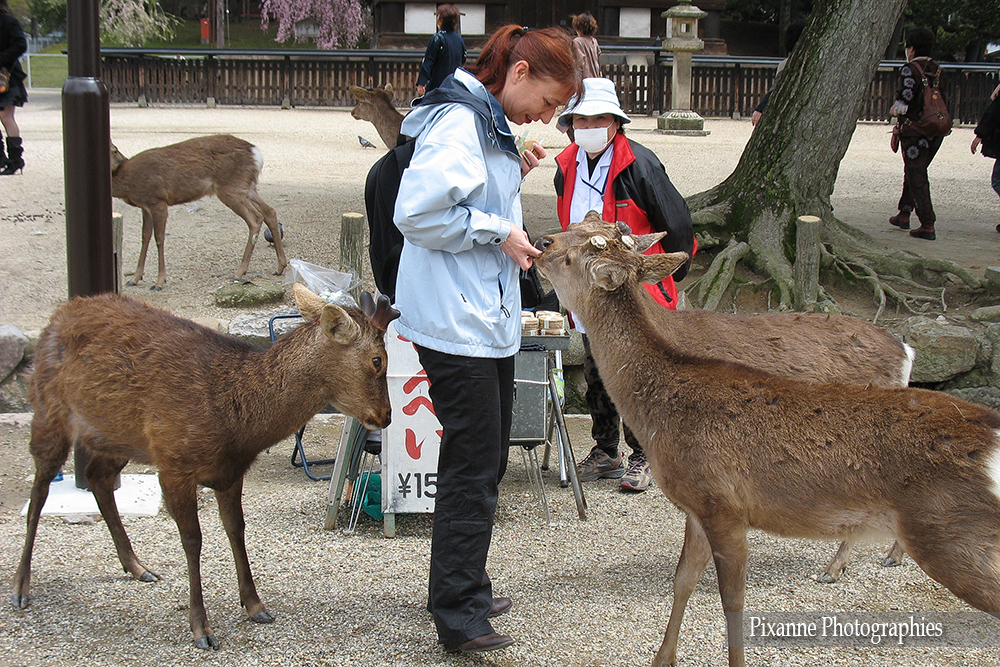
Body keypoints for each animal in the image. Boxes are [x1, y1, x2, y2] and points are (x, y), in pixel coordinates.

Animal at [11, 285, 399, 650]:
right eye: (378, 360)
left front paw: (256, 606)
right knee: (40, 490)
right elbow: (193, 540)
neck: (236, 423)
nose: (386, 416)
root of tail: (61, 313)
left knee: (96, 477)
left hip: (118, 436)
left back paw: (137, 566)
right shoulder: (173, 463)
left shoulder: (230, 473)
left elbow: (237, 530)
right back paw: (20, 587)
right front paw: (202, 629)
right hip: (49, 409)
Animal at [110, 134, 288, 291]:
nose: (122, 161)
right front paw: (134, 278)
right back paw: (280, 266)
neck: (128, 182)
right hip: (247, 188)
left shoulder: (158, 201)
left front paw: (159, 282)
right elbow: (145, 237)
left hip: (231, 188)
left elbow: (159, 239)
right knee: (269, 211)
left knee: (255, 218)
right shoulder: (145, 206)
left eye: (114, 149)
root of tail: (256, 153)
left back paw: (239, 273)